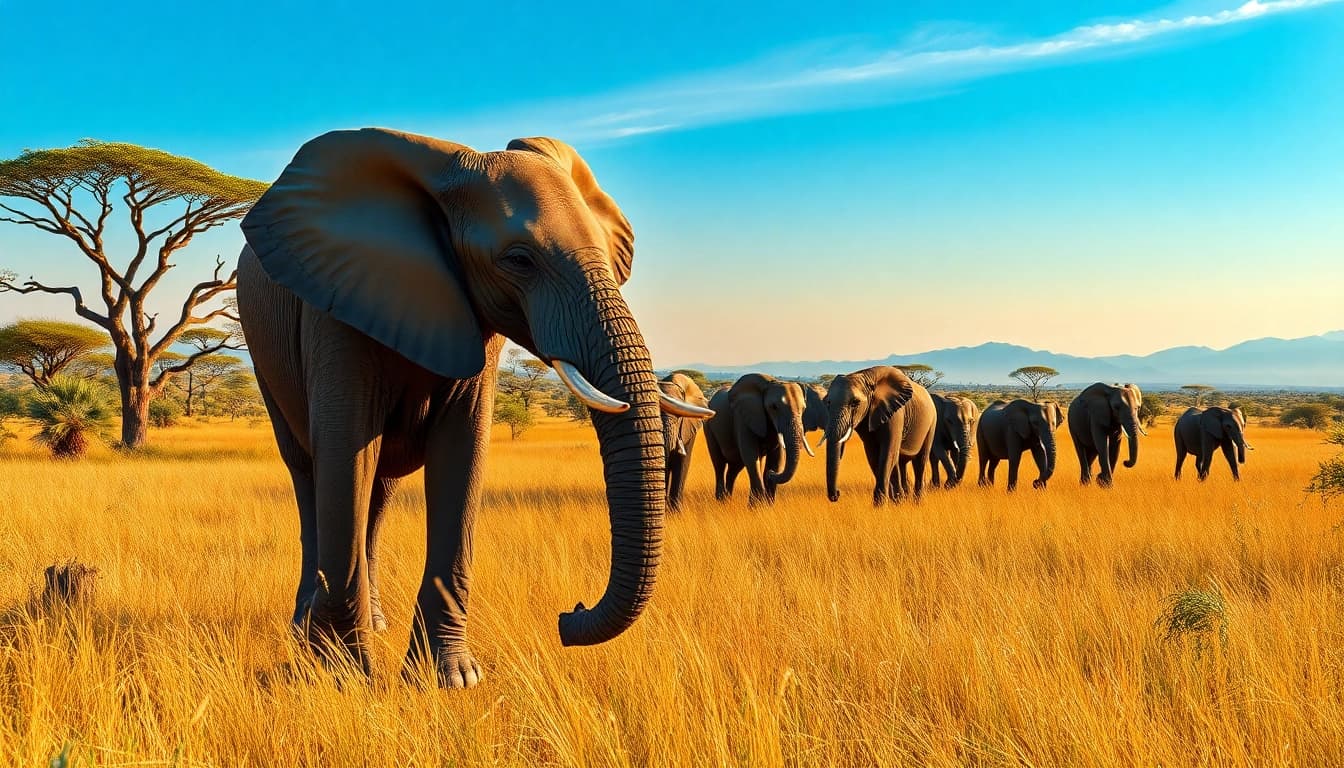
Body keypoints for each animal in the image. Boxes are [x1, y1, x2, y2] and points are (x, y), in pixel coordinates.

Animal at [704, 374, 826, 505]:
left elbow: (776, 459)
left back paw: (727, 501)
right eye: (774, 407)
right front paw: (756, 506)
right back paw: (721, 501)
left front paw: (767, 505)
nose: (770, 474)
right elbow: (751, 457)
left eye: (803, 409)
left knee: (734, 468)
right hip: (708, 426)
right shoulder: (743, 417)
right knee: (719, 465)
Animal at [822, 366, 936, 505]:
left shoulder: (896, 413)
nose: (837, 494)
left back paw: (917, 502)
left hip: (932, 422)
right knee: (900, 462)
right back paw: (902, 499)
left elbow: (887, 453)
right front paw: (893, 503)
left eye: (855, 402)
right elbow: (873, 456)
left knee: (920, 461)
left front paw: (880, 505)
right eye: (827, 403)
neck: (866, 376)